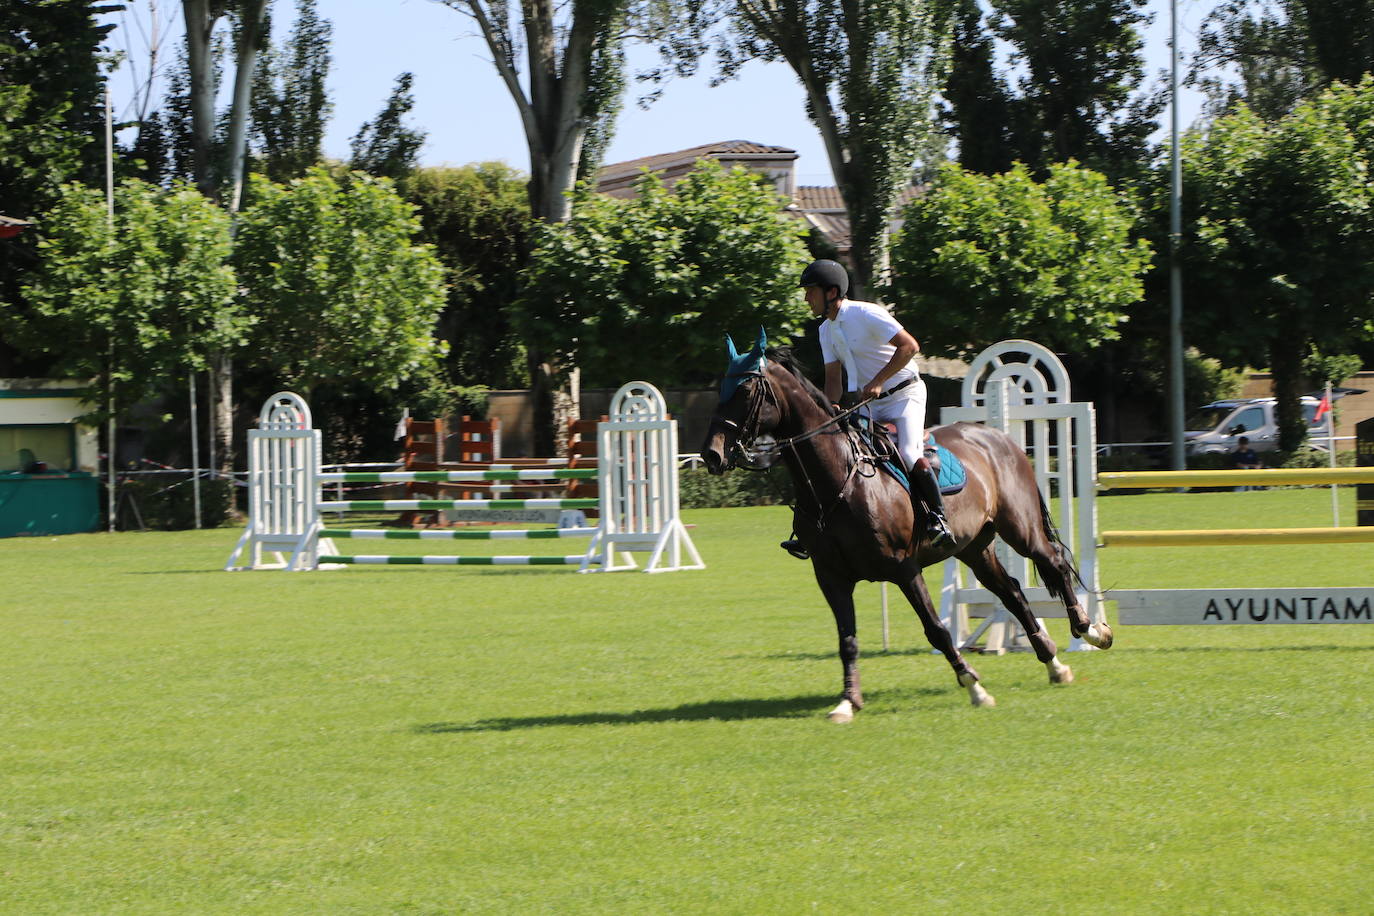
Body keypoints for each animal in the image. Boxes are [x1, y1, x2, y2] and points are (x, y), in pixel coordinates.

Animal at [703, 336, 1110, 725]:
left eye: (744, 391)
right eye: (720, 389)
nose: (712, 455)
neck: (837, 481)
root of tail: (998, 437)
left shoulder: (904, 568)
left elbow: (937, 629)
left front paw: (974, 687)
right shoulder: (832, 577)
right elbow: (847, 640)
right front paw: (847, 702)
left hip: (1019, 529)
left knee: (1053, 563)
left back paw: (1092, 631)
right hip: (974, 547)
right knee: (1012, 594)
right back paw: (1054, 665)